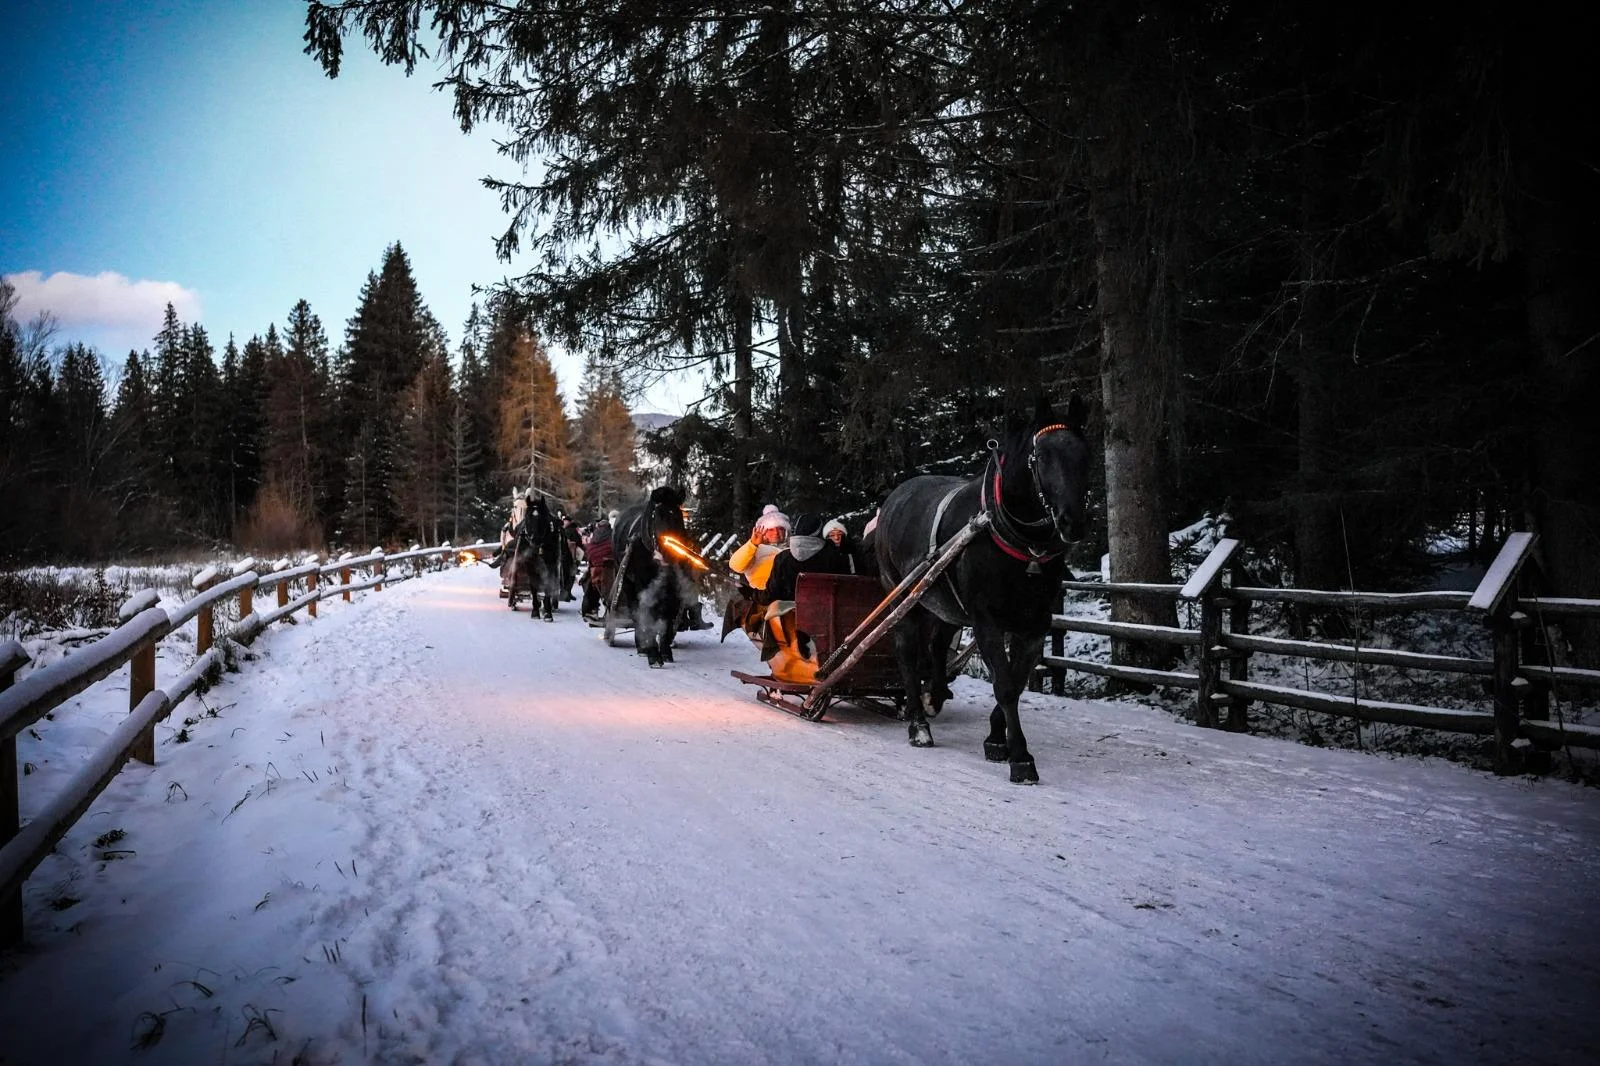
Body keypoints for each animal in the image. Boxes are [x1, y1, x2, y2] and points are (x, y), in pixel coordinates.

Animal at [607, 485, 694, 667]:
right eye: (657, 515)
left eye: (678, 515)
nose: (669, 552)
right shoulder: (643, 583)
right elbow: (648, 613)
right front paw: (653, 654)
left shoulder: (672, 585)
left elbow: (667, 615)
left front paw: (665, 650)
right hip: (627, 581)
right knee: (635, 610)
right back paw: (642, 647)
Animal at [874, 394, 1092, 783]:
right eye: (1042, 457)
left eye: (1086, 455)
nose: (1073, 522)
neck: (1022, 547)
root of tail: (895, 495)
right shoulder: (987, 620)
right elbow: (1004, 684)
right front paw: (1020, 756)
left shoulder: (1034, 625)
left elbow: (1014, 683)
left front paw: (996, 738)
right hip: (904, 598)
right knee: (908, 654)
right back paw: (918, 723)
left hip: (943, 606)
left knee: (937, 646)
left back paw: (936, 694)